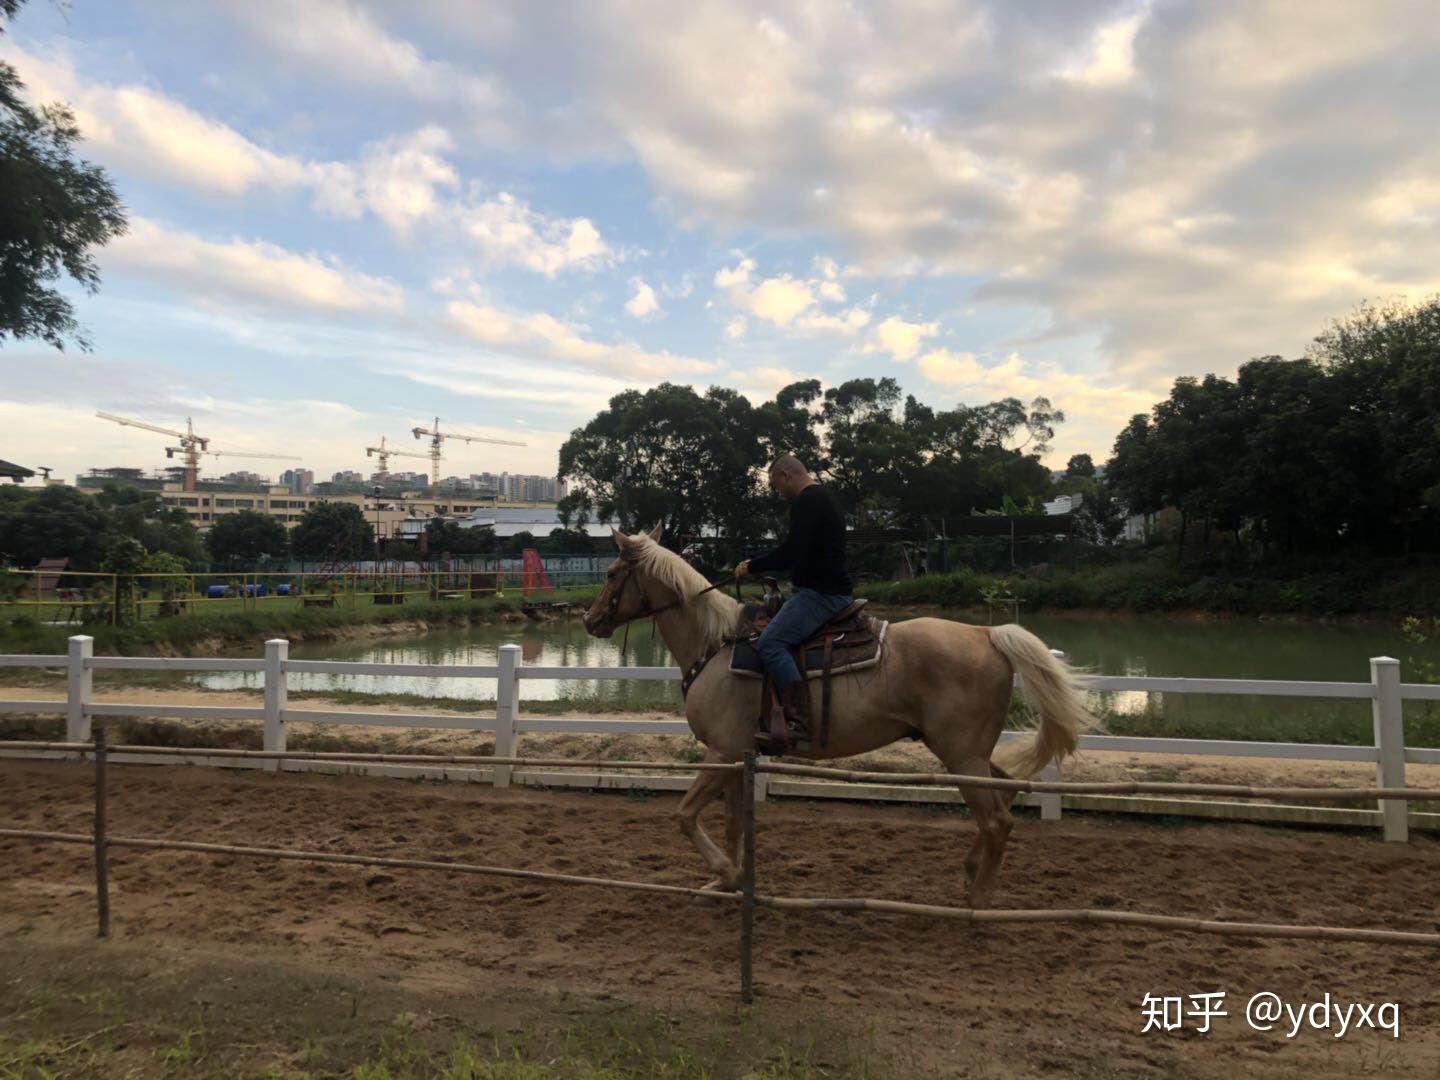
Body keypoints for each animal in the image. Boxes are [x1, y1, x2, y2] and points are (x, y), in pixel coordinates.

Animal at [578, 529, 1094, 910]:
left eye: (611, 572)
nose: (589, 619)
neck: (717, 644)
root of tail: (989, 634)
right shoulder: (738, 757)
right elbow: (733, 823)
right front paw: (729, 882)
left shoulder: (721, 752)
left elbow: (685, 816)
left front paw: (726, 874)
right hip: (969, 754)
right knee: (1006, 795)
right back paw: (970, 874)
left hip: (962, 755)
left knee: (997, 821)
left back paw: (980, 903)